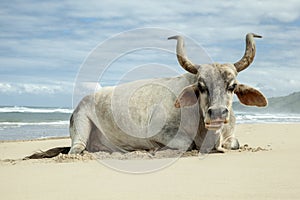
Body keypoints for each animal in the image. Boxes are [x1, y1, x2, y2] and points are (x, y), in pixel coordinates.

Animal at [27, 32, 266, 158]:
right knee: (76, 149)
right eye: (201, 86)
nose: (217, 113)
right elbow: (185, 144)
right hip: (80, 126)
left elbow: (234, 143)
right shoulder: (162, 133)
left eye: (232, 86)